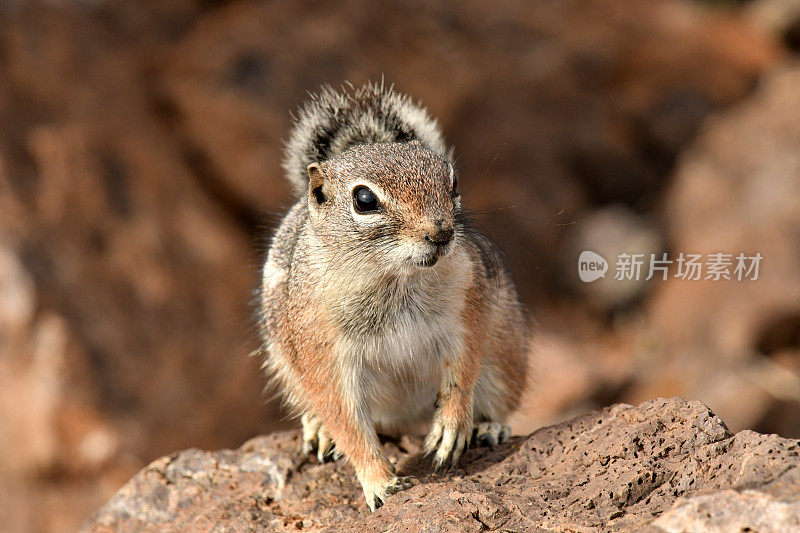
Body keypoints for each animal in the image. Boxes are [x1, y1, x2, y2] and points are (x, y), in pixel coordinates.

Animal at [258, 84, 532, 512]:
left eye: (453, 182)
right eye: (364, 200)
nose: (441, 233)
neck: (395, 279)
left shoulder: (468, 312)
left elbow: (461, 373)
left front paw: (451, 427)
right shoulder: (322, 355)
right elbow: (347, 422)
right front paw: (380, 482)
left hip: (505, 357)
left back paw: (489, 426)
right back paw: (319, 430)